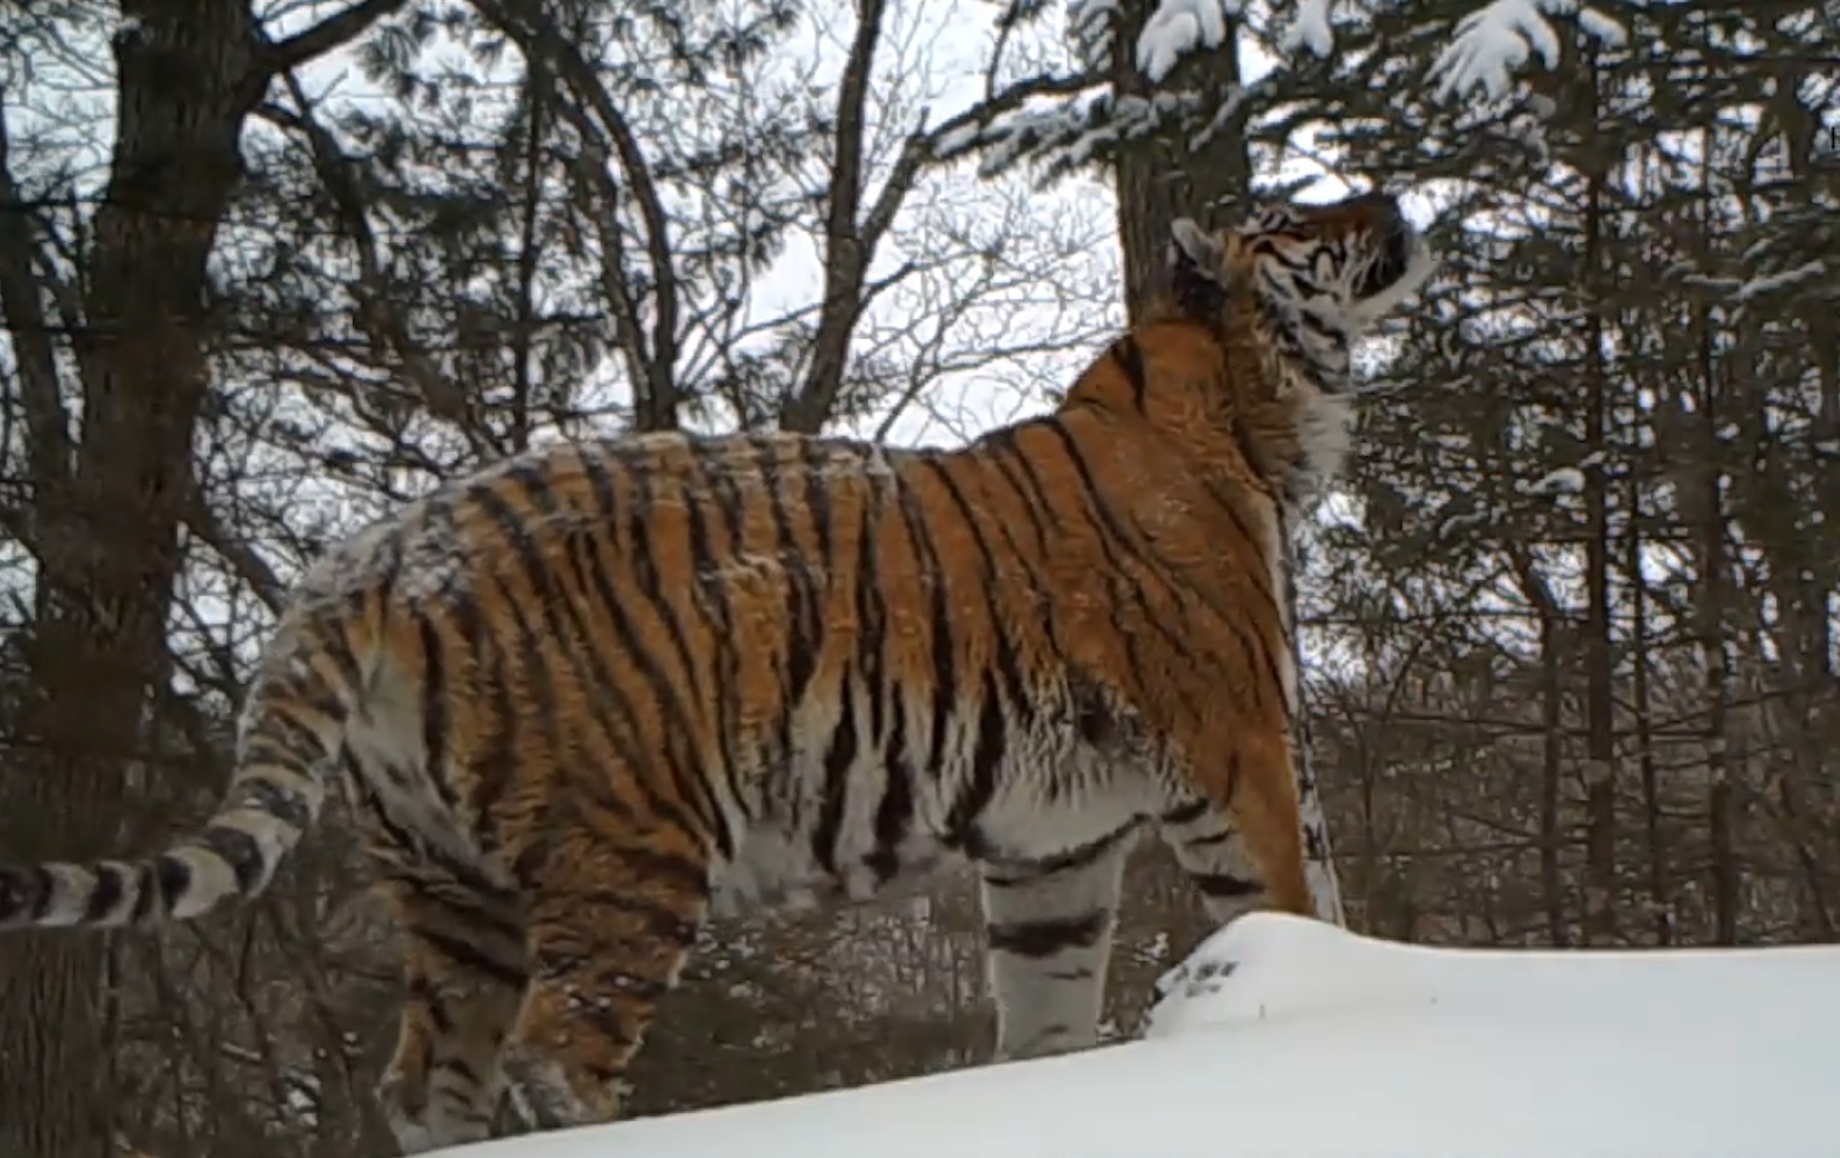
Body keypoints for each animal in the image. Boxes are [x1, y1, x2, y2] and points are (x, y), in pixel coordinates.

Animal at [0, 192, 1435, 1148]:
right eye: (1300, 213)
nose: (1391, 197)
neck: (1246, 412)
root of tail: (374, 552)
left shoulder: (1053, 848)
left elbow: (1045, 1013)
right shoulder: (1241, 755)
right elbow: (1301, 907)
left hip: (450, 887)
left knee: (428, 1081)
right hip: (628, 849)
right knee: (555, 1051)